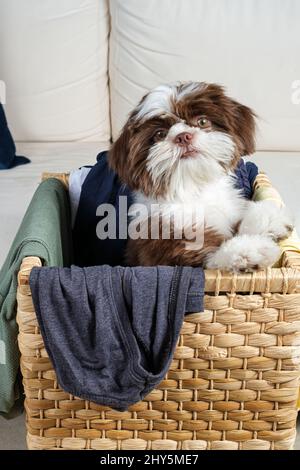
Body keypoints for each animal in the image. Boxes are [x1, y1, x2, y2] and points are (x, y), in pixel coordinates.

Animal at [108, 82, 292, 270]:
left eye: (202, 121)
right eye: (160, 134)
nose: (183, 136)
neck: (195, 188)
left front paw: (266, 219)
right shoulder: (164, 238)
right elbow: (207, 257)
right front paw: (246, 251)